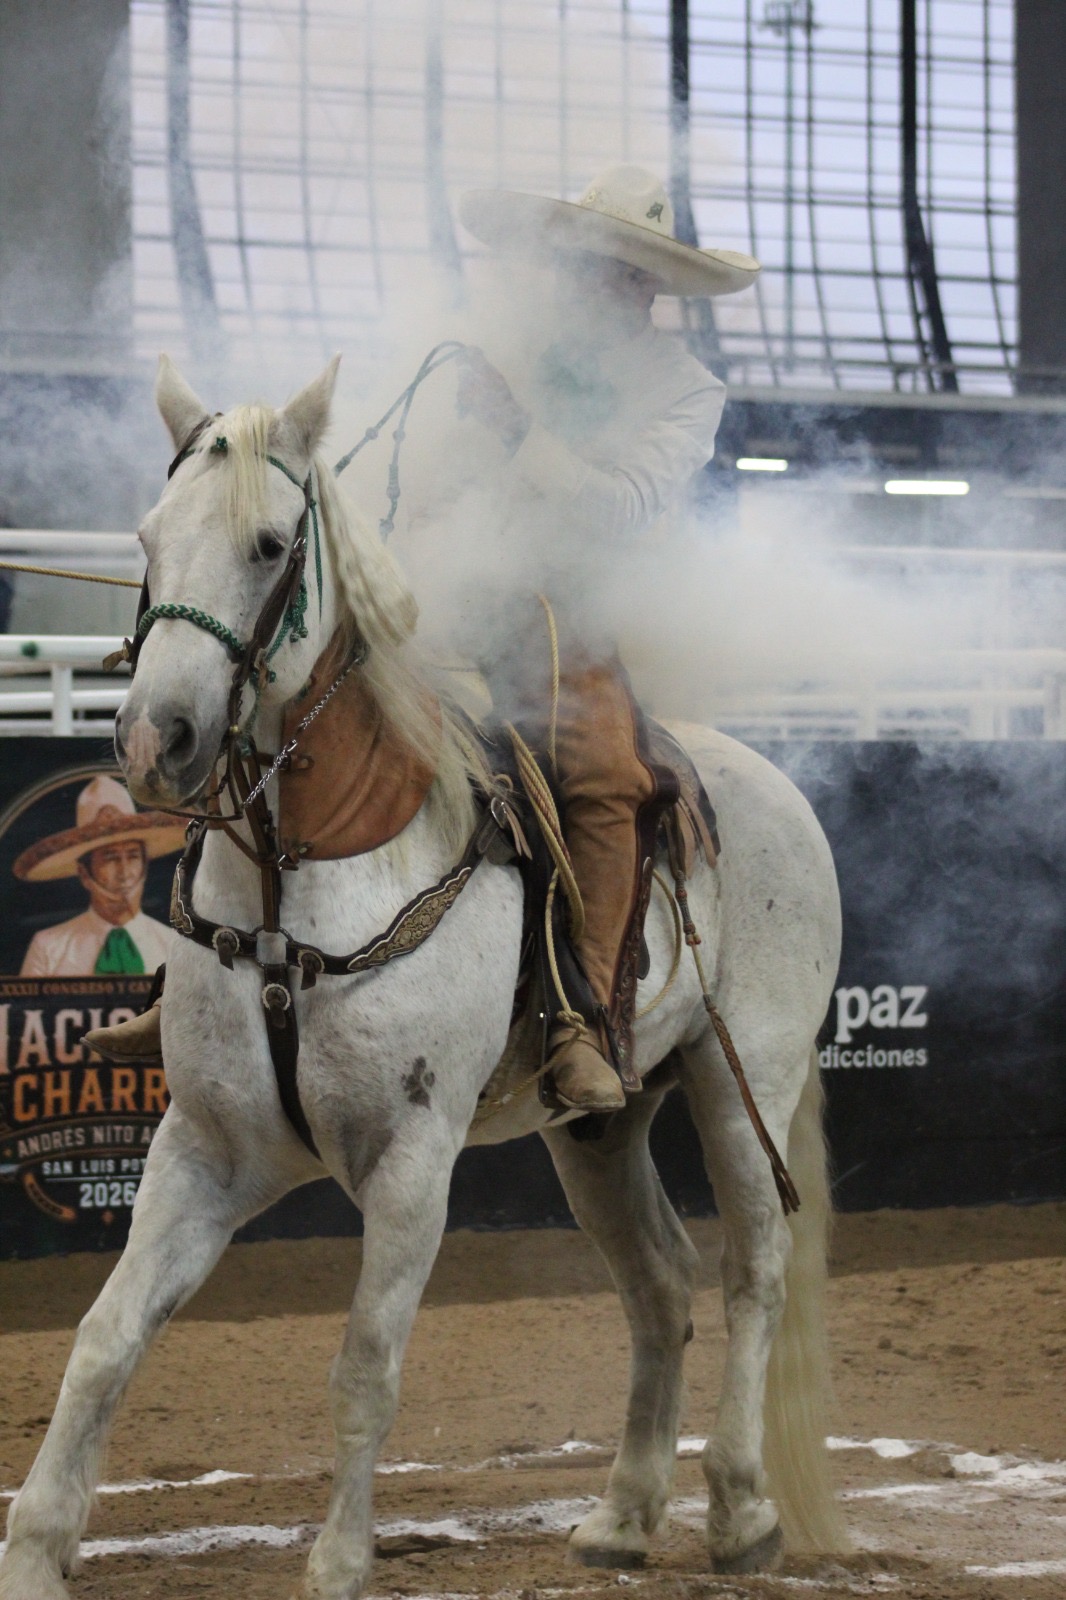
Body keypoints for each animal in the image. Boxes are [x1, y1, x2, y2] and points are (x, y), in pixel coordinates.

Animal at [0, 356, 849, 1600]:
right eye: (148, 536)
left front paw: (339, 1562)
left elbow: (365, 1364)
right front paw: (35, 1548)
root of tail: (767, 780)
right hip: (598, 1125)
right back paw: (621, 1513)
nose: (159, 739)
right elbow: (108, 1338)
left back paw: (739, 1508)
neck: (301, 883)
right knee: (660, 1283)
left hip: (748, 1082)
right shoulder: (202, 1146)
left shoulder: (410, 1158)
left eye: (268, 543)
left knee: (754, 1270)